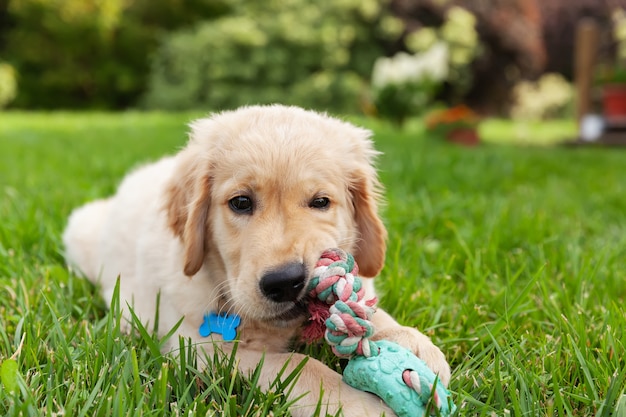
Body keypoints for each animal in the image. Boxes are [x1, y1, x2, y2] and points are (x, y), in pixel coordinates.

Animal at [63, 105, 450, 416]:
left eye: (320, 202)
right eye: (240, 202)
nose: (285, 282)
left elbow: (369, 309)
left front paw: (414, 344)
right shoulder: (201, 349)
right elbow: (298, 365)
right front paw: (358, 405)